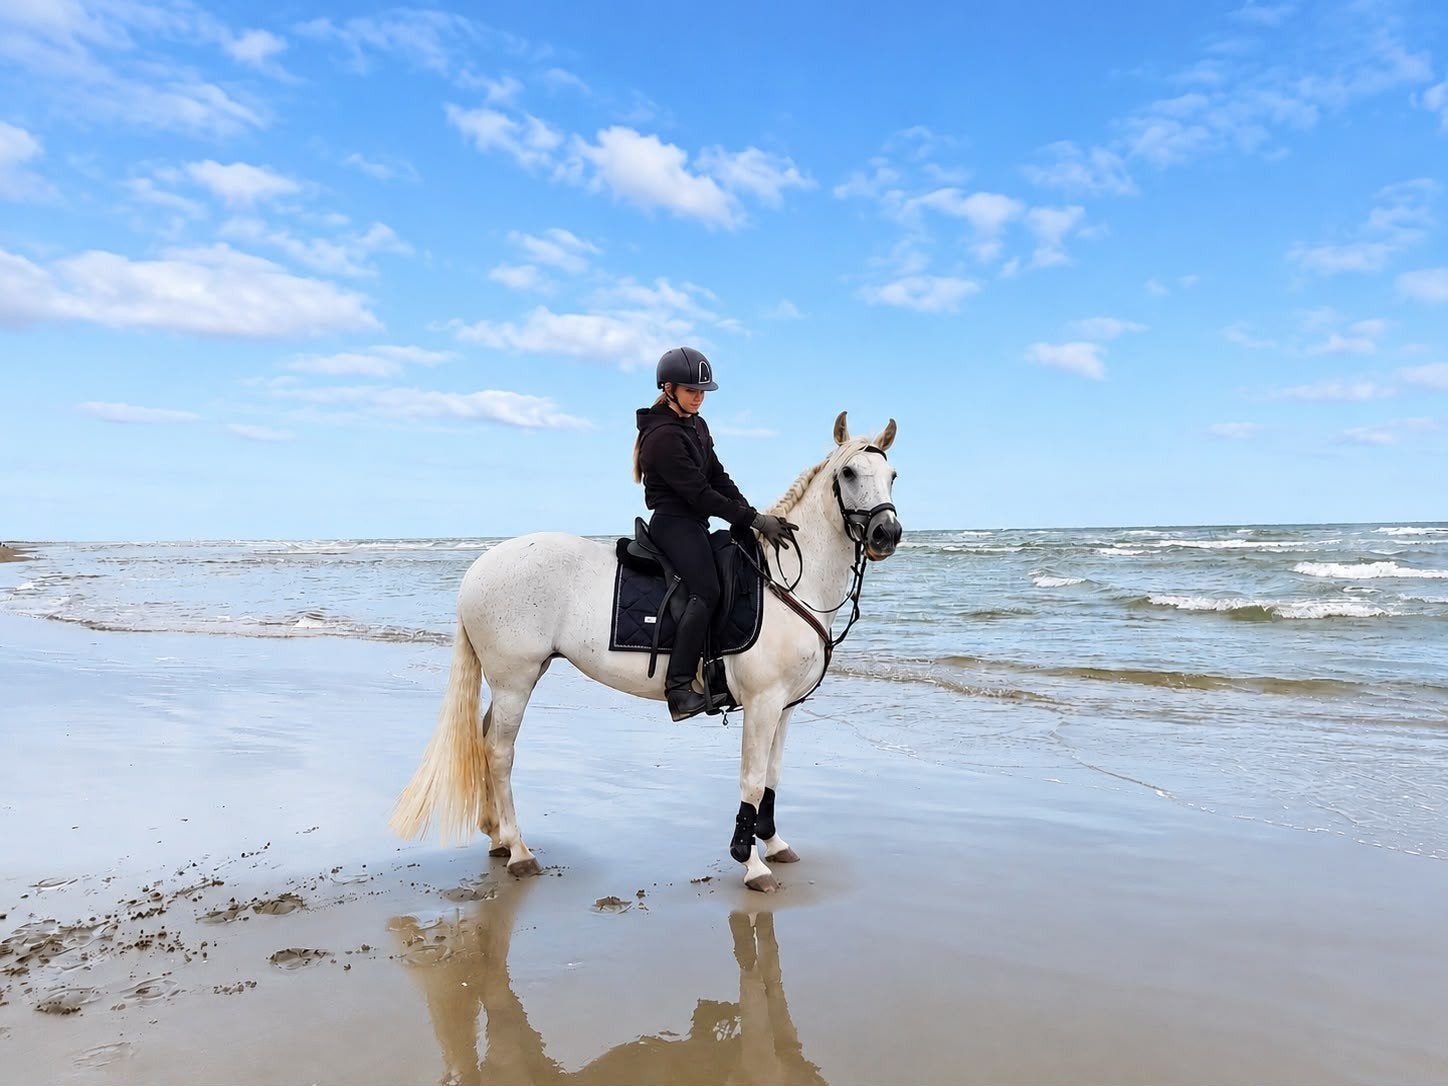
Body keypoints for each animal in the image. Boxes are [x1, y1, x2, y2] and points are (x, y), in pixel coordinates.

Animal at [390, 411, 902, 891]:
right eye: (849, 473)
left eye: (892, 474)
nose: (887, 534)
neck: (784, 580)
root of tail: (479, 568)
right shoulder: (762, 703)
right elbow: (753, 780)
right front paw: (751, 863)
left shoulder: (786, 706)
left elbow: (773, 775)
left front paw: (773, 844)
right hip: (514, 680)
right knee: (499, 753)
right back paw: (518, 851)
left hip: (515, 678)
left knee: (485, 738)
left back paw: (497, 836)